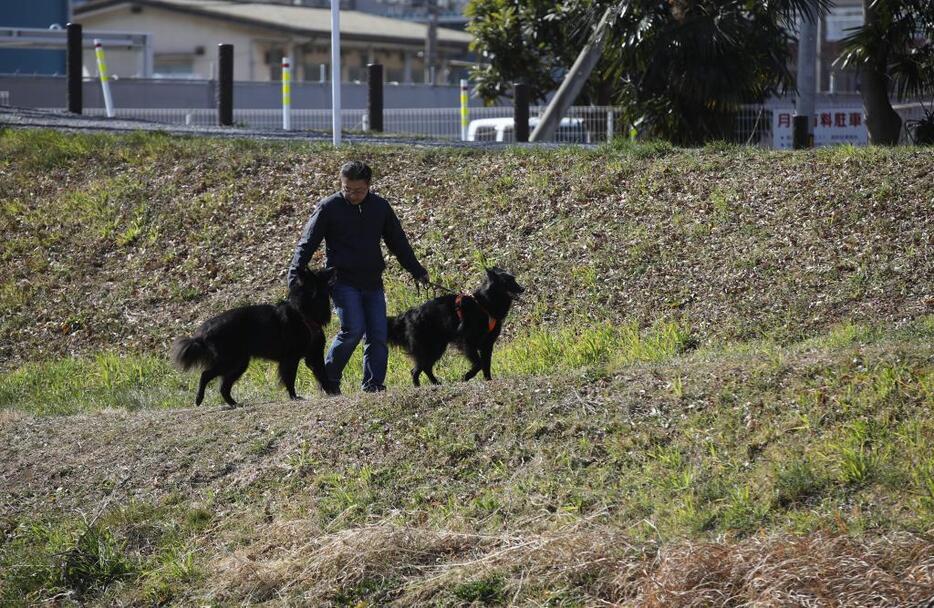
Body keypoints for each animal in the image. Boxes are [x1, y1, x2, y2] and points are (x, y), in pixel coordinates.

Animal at [174, 264, 338, 404]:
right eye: (320, 274)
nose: (333, 267)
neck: (303, 313)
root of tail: (202, 333)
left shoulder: (313, 356)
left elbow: (323, 375)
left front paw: (332, 393)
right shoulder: (291, 358)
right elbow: (290, 379)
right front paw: (294, 396)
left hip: (239, 364)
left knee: (223, 387)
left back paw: (234, 403)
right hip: (229, 361)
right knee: (205, 375)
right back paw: (199, 399)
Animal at [386, 268, 524, 390]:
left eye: (514, 279)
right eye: (508, 281)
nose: (523, 288)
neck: (484, 304)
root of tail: (407, 315)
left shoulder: (487, 344)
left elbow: (486, 364)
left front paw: (488, 380)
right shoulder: (468, 342)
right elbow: (479, 364)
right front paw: (467, 376)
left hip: (437, 348)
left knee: (425, 368)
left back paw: (435, 383)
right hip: (428, 348)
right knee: (416, 369)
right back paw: (418, 386)